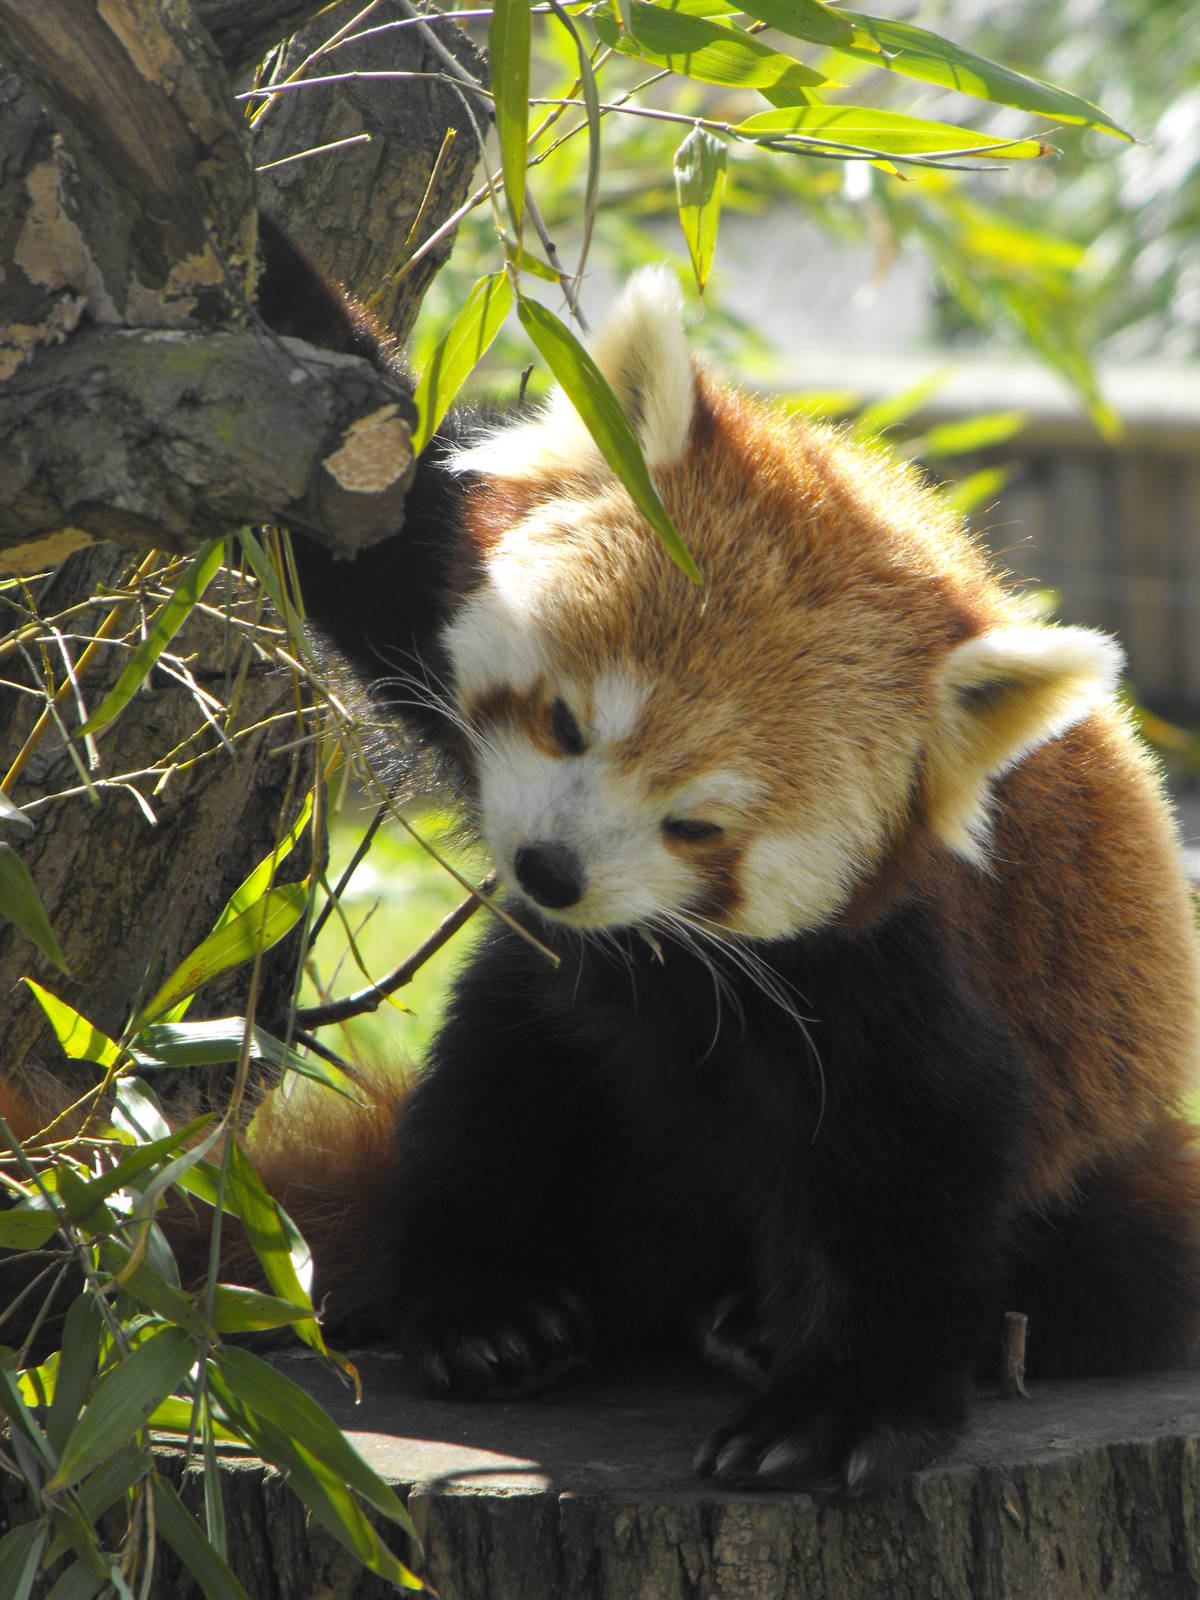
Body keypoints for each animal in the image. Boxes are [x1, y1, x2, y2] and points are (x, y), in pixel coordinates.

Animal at [255, 222, 1200, 1496]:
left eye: (697, 827)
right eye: (564, 722)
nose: (549, 874)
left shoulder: (897, 959)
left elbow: (923, 1157)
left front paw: (838, 1409)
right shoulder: (445, 564)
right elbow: (364, 507)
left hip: (1120, 1155)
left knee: (1129, 1259)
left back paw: (762, 1324)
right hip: (554, 1046)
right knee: (502, 1078)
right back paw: (493, 1309)